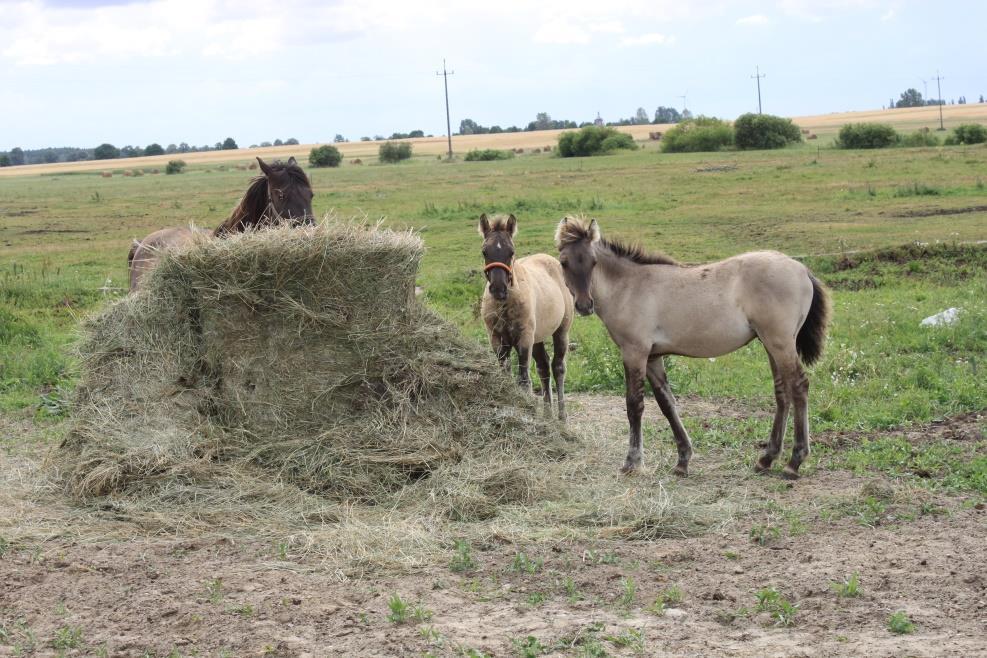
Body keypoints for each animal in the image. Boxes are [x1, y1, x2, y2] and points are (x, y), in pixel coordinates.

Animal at [480, 215, 576, 420]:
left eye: (511, 251)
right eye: (484, 251)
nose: (498, 289)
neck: (505, 304)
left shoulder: (524, 338)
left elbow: (524, 381)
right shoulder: (496, 339)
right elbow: (506, 376)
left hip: (560, 331)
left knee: (558, 367)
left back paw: (562, 417)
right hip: (537, 337)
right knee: (543, 367)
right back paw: (548, 415)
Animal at [560, 215, 828, 476]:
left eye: (593, 262)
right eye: (563, 262)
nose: (584, 305)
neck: (628, 287)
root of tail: (802, 269)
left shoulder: (634, 352)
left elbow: (634, 404)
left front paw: (632, 462)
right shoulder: (653, 357)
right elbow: (667, 403)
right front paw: (683, 460)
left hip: (780, 342)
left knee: (799, 386)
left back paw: (795, 461)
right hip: (770, 343)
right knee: (782, 391)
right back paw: (766, 459)